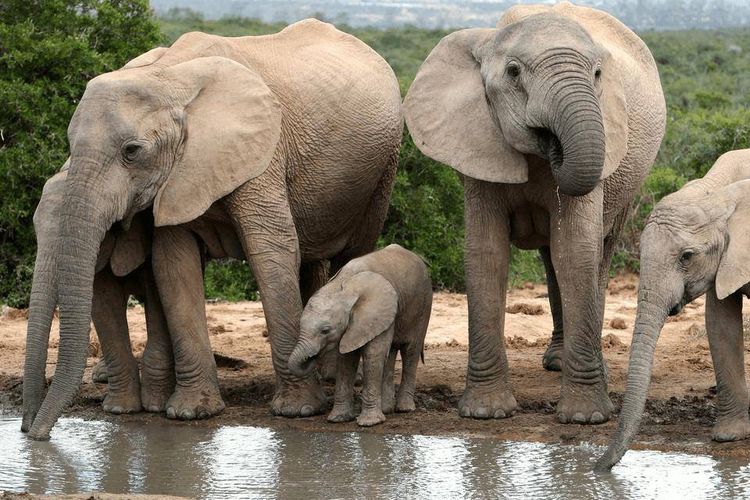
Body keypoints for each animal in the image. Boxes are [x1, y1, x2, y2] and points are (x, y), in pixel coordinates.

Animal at [22, 19, 402, 440]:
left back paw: (335, 374)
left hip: (382, 168)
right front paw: (191, 413)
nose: (31, 433)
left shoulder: (261, 151)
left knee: (353, 252)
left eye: (132, 151)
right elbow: (173, 264)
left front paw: (298, 411)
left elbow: (271, 251)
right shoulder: (177, 176)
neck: (169, 78)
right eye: (70, 145)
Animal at [288, 244, 432, 426]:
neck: (344, 287)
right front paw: (338, 419)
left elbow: (373, 354)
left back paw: (404, 409)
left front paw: (369, 423)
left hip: (424, 305)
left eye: (325, 330)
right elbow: (346, 359)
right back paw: (387, 409)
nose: (312, 357)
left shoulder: (376, 312)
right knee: (391, 352)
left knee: (410, 351)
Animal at [403, 2, 666, 423]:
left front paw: (585, 418)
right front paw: (486, 413)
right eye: (513, 72)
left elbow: (576, 251)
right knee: (551, 259)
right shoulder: (478, 143)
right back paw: (556, 363)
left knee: (595, 254)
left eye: (597, 75)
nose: (554, 145)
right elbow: (486, 252)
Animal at [596, 149, 750, 470]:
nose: (597, 469)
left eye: (686, 257)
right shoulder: (724, 260)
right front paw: (729, 436)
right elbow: (720, 323)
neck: (715, 194)